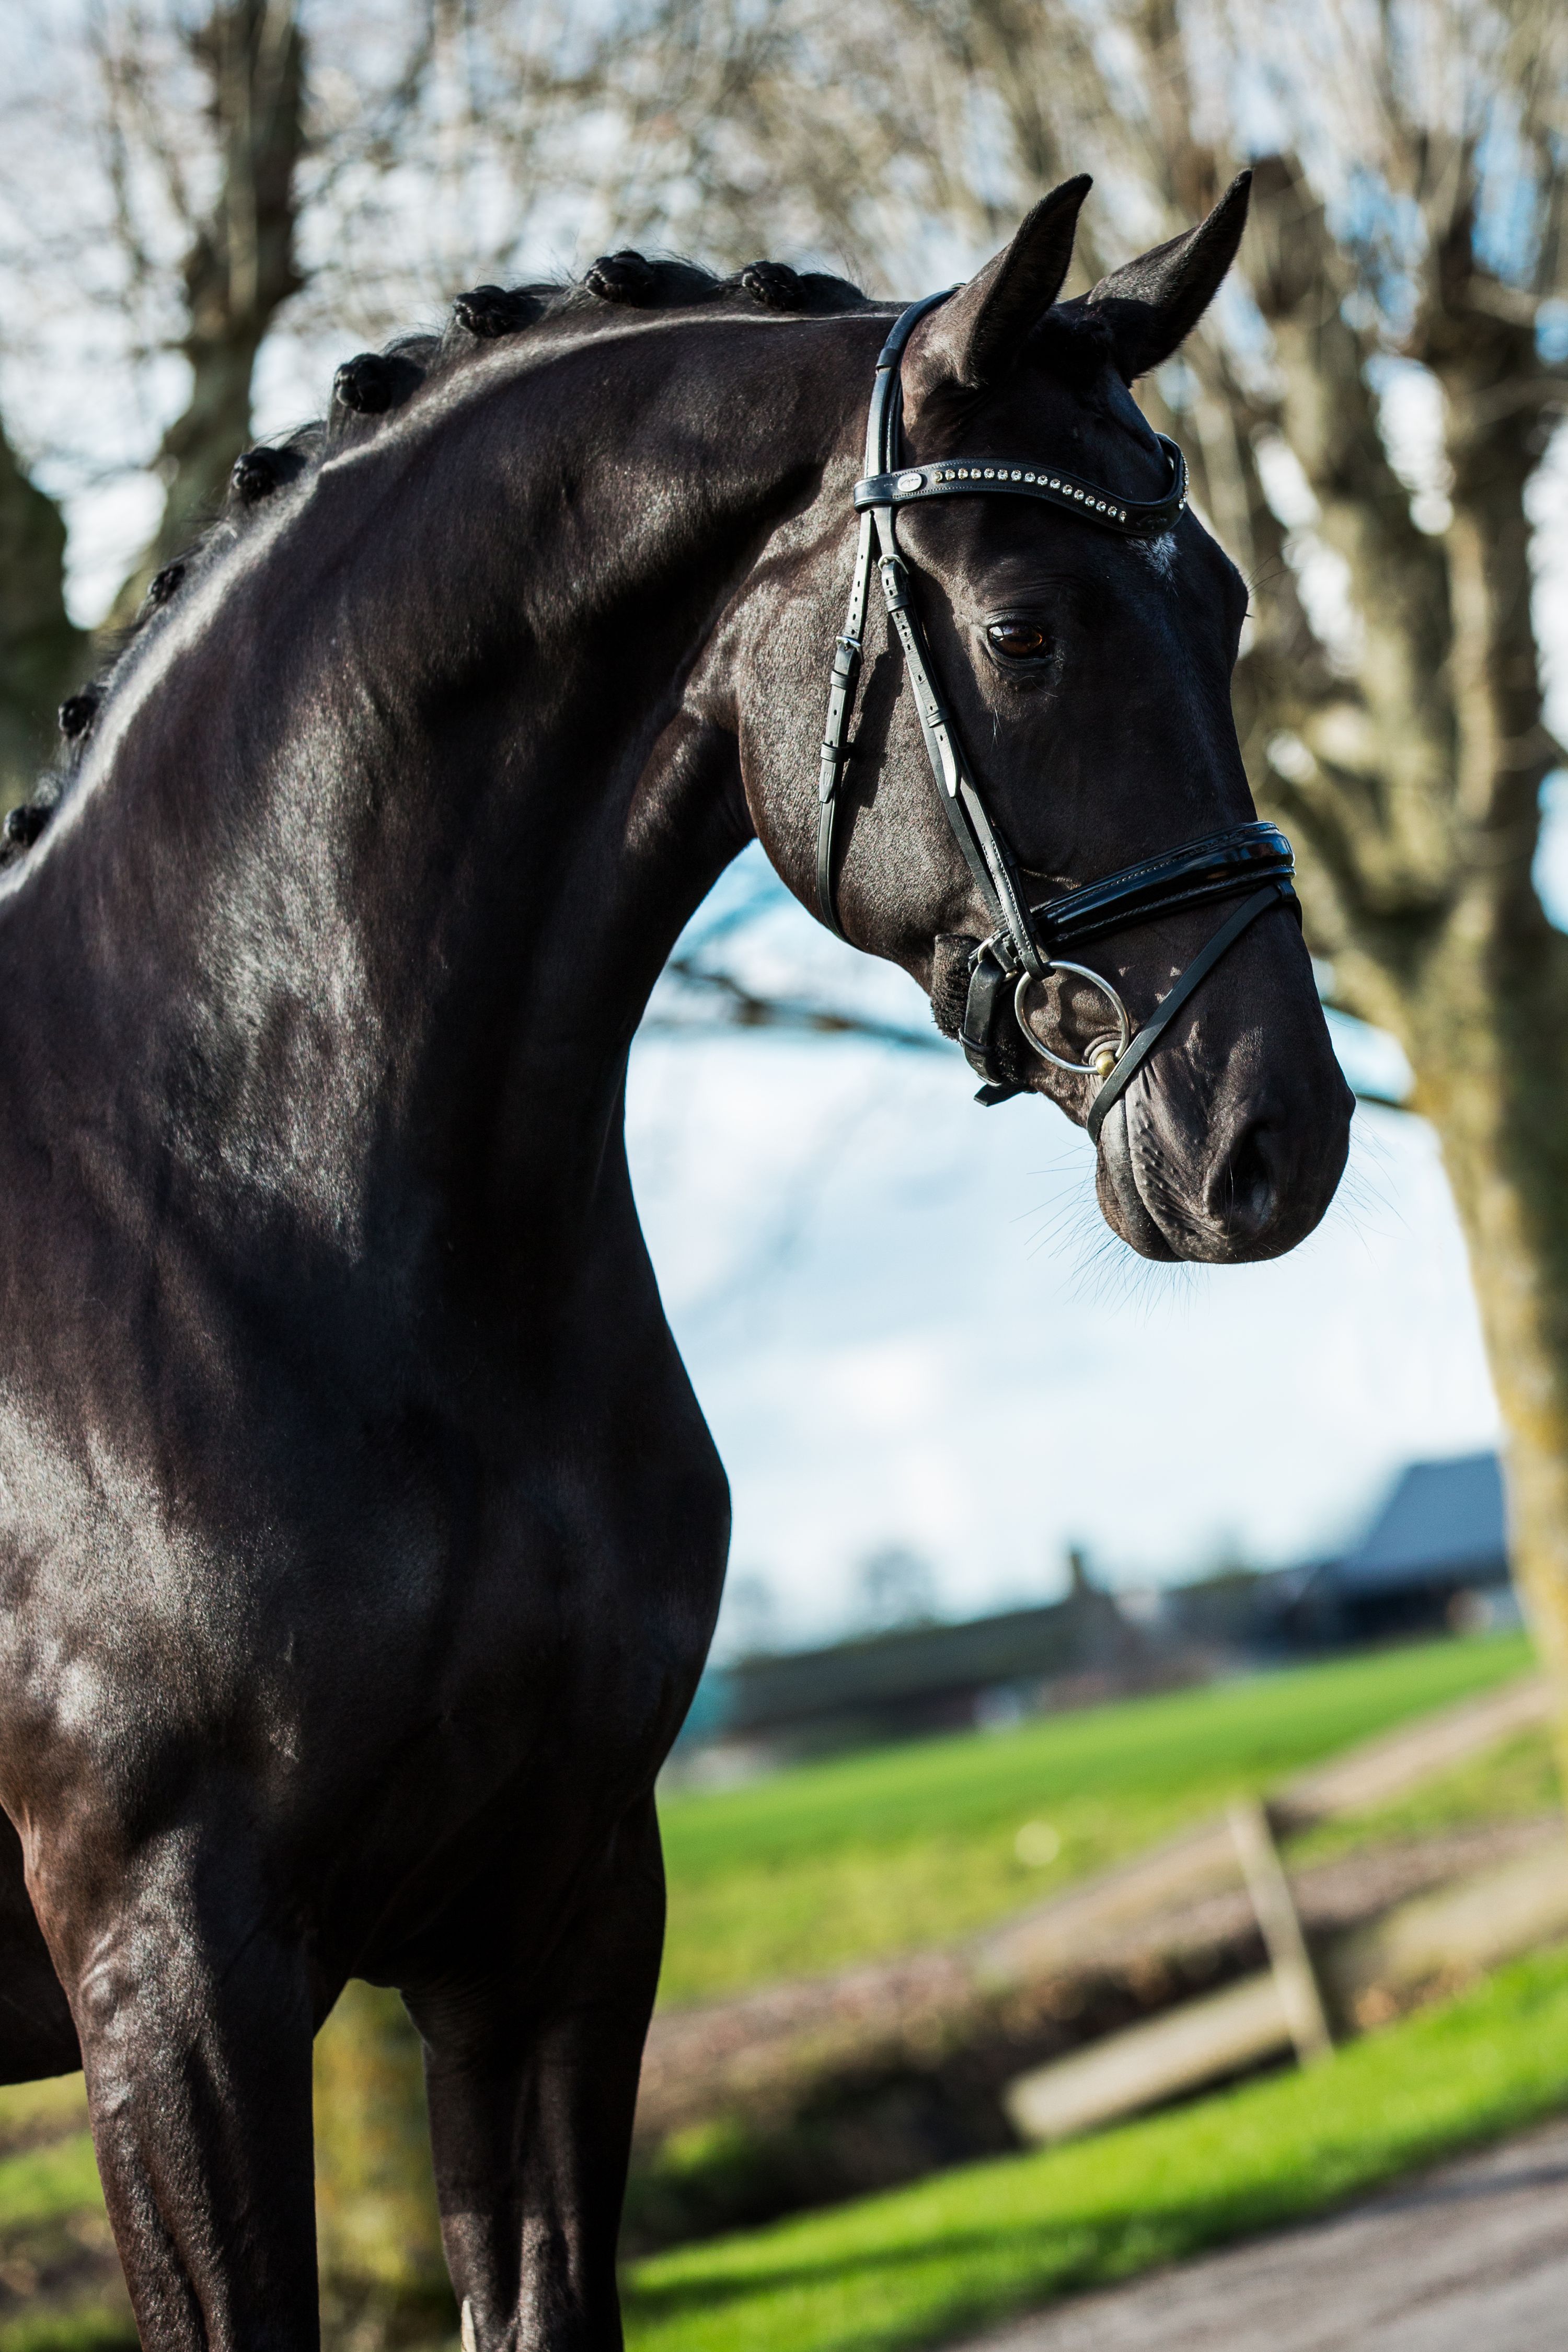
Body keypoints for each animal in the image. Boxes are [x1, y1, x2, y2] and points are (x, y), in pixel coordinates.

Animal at [0, 172, 1350, 2347]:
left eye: (1221, 601)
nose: (1273, 1139)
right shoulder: (173, 1972)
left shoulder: (550, 1917)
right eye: (1021, 629)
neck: (241, 1194)